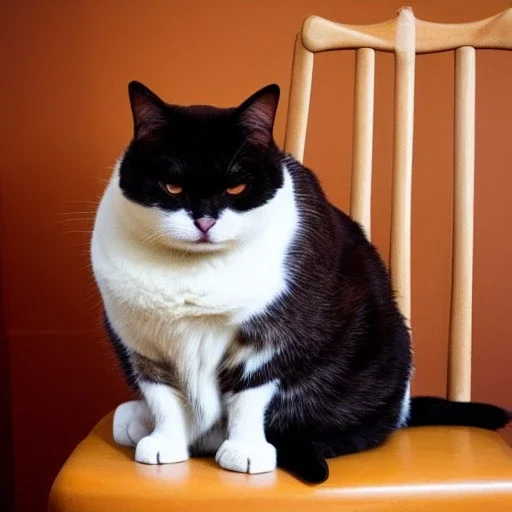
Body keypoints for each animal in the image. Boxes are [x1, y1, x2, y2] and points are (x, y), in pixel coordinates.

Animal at [90, 81, 510, 484]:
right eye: (172, 186)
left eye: (236, 188)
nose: (204, 220)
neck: (194, 271)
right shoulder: (139, 339)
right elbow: (162, 395)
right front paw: (165, 442)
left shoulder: (273, 332)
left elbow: (250, 394)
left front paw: (245, 451)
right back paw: (138, 420)